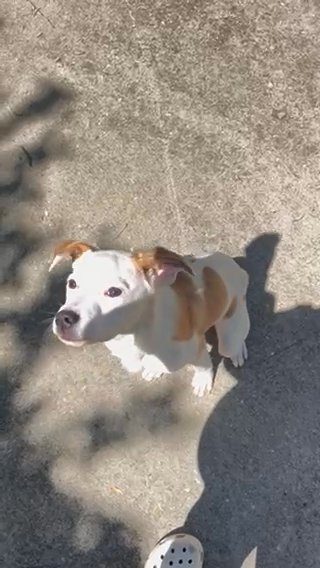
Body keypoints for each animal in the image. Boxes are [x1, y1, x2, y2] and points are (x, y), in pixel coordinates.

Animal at [50, 242, 250, 398]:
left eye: (114, 292)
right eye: (72, 283)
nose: (64, 318)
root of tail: (236, 269)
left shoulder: (197, 353)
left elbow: (204, 367)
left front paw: (202, 382)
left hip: (229, 334)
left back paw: (238, 351)